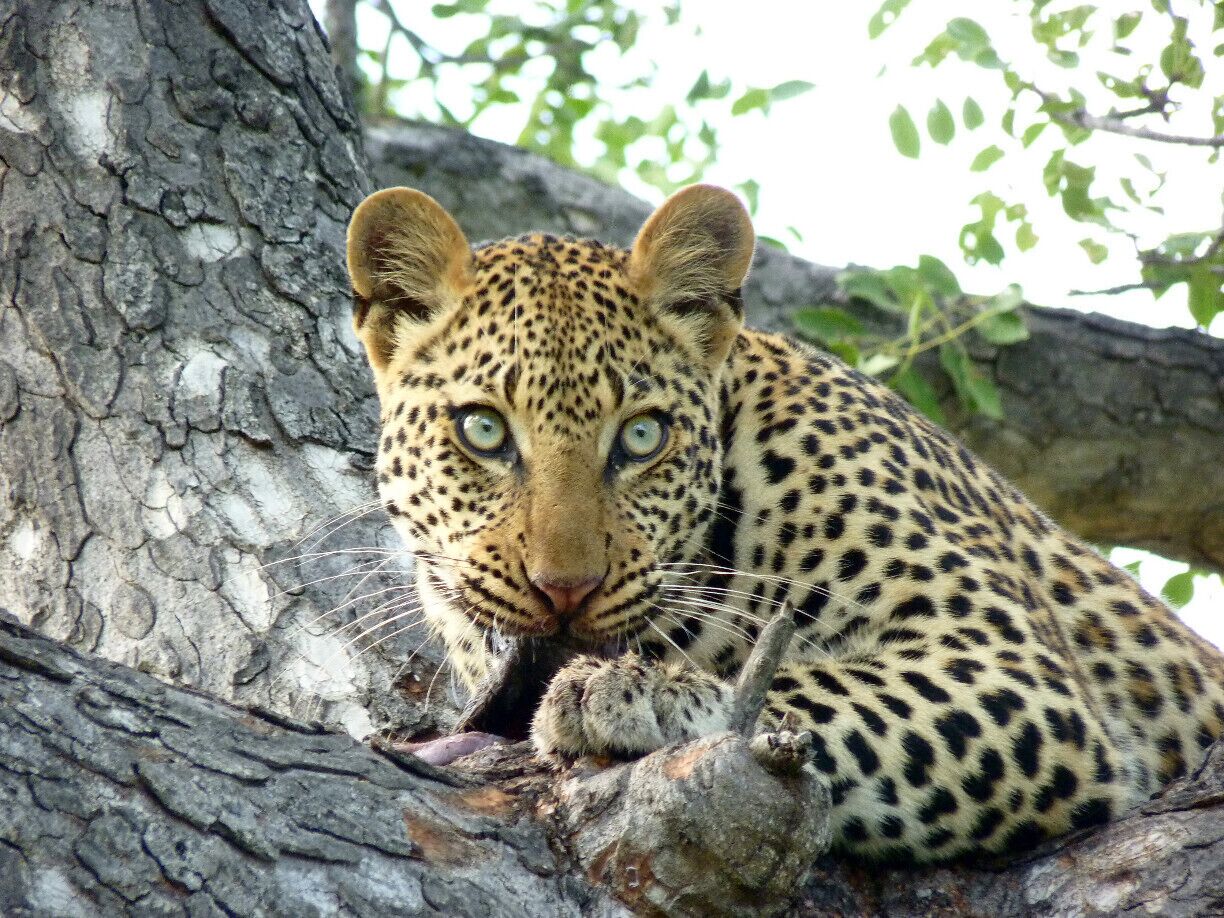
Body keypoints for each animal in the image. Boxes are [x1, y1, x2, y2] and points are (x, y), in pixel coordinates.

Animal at [344, 183, 1224, 863]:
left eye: (642, 435)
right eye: (483, 430)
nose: (566, 590)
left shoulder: (1010, 664)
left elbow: (816, 684)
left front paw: (639, 691)